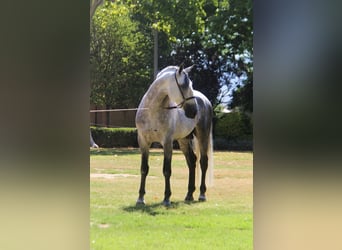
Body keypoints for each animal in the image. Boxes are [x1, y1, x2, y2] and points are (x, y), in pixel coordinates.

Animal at [135, 64, 212, 205]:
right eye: (184, 86)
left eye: (191, 84)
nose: (194, 111)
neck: (153, 111)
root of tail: (204, 99)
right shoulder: (143, 142)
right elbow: (144, 169)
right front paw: (140, 198)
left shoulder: (167, 143)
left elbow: (167, 170)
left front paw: (166, 198)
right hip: (183, 140)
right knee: (192, 161)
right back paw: (189, 194)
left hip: (203, 135)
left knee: (203, 162)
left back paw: (202, 194)